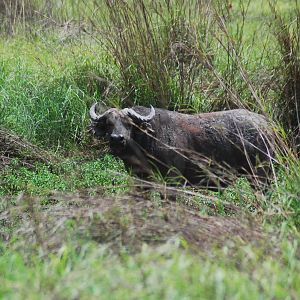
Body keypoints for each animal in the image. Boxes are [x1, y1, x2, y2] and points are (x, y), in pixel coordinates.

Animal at [89, 104, 274, 189]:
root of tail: (267, 125)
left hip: (260, 175)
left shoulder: (174, 179)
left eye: (129, 124)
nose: (116, 139)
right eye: (109, 124)